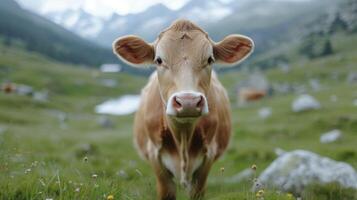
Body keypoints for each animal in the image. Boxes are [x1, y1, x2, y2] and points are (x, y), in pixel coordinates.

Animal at [112, 19, 253, 200]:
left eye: (210, 59)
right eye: (158, 60)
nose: (188, 101)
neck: (183, 137)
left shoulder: (208, 156)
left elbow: (197, 191)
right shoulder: (154, 155)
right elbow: (167, 191)